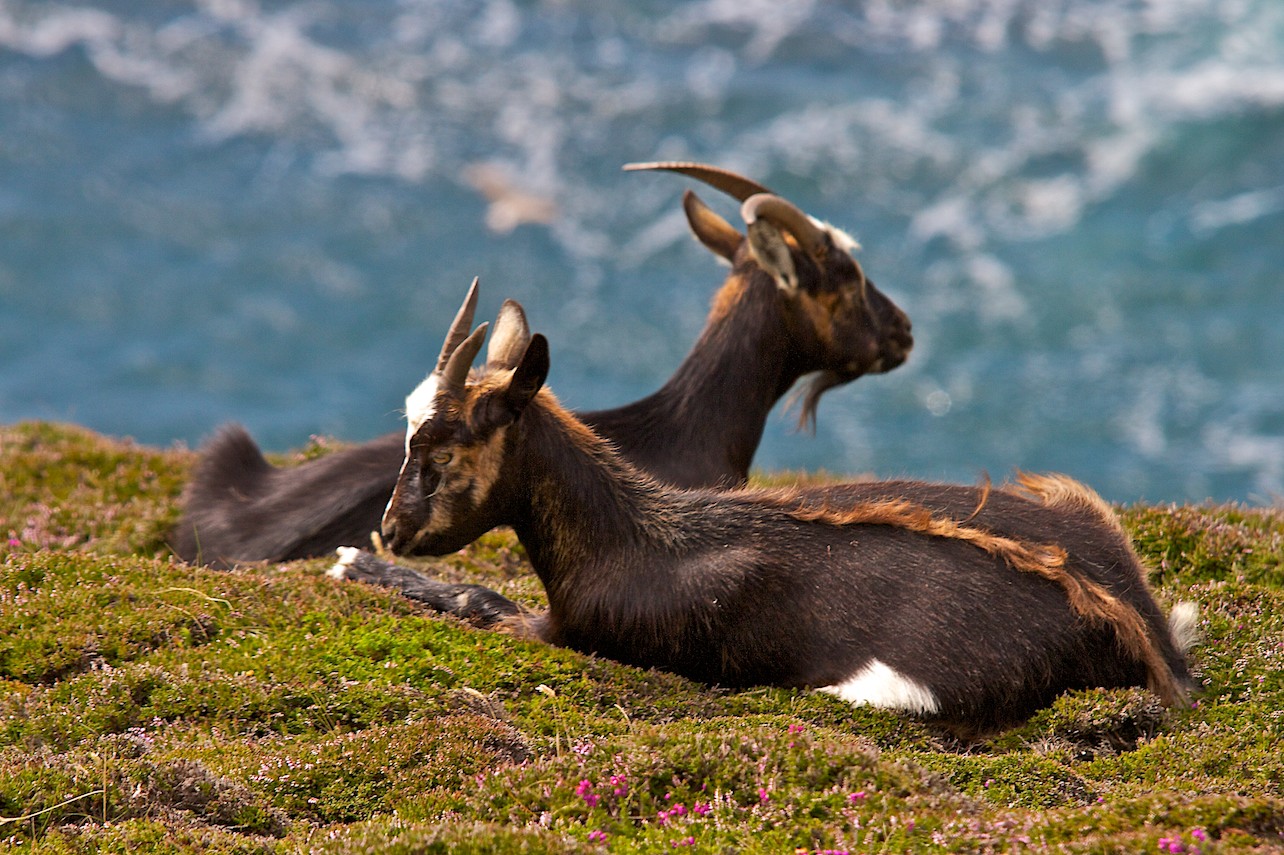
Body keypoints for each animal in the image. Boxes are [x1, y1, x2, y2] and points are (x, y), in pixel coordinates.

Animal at [333, 286, 1195, 733]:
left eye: (443, 447)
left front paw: (357, 564)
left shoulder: (579, 630)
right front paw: (358, 561)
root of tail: (1155, 645)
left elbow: (479, 598)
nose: (393, 527)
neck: (628, 540)